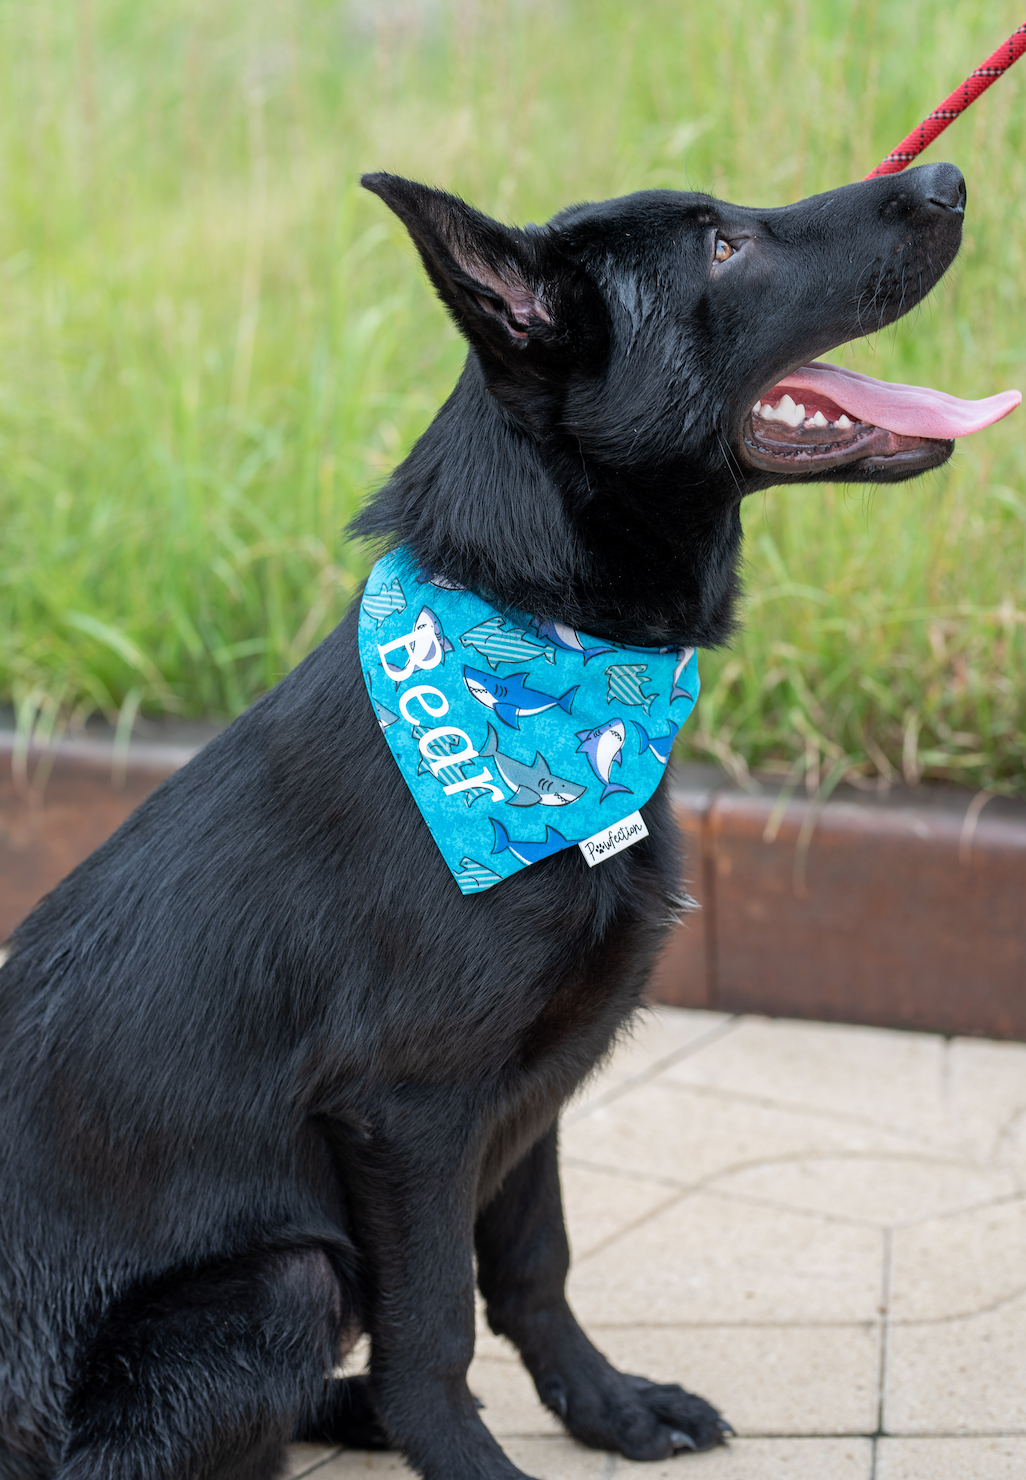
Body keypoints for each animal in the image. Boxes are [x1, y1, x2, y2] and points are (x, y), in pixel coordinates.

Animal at [0, 165, 971, 1480]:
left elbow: (532, 1269)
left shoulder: (532, 1085)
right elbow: (435, 1331)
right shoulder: (411, 1118)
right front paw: (468, 1459)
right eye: (723, 247)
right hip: (286, 1278)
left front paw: (605, 1409)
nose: (948, 178)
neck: (539, 651)